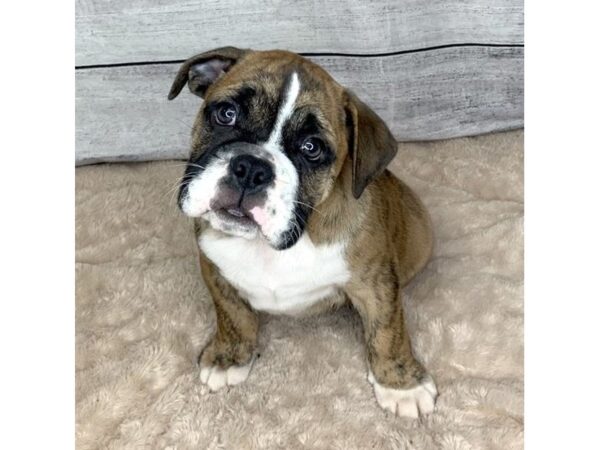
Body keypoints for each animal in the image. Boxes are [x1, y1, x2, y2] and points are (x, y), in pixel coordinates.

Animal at [169, 47, 436, 416]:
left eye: (312, 148)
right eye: (226, 114)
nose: (251, 168)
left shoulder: (377, 284)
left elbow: (388, 330)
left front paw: (401, 384)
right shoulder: (213, 268)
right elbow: (232, 313)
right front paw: (228, 356)